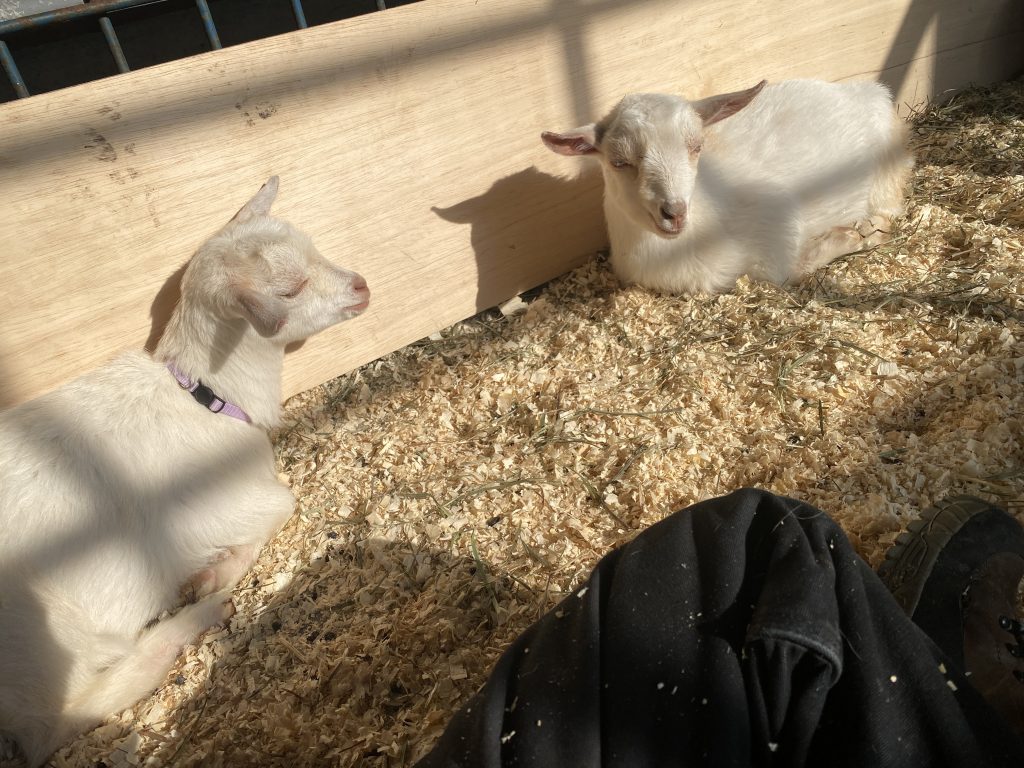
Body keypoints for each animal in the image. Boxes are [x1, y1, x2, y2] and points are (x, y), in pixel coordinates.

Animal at [0, 177, 370, 766]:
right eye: (291, 289)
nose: (362, 286)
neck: (204, 394)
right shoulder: (204, 505)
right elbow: (284, 500)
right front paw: (213, 575)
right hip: (40, 638)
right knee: (54, 721)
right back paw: (188, 624)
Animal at [542, 79, 913, 294]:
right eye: (619, 162)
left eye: (696, 147)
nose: (674, 212)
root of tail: (868, 90)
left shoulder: (776, 226)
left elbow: (785, 271)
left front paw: (854, 235)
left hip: (885, 176)